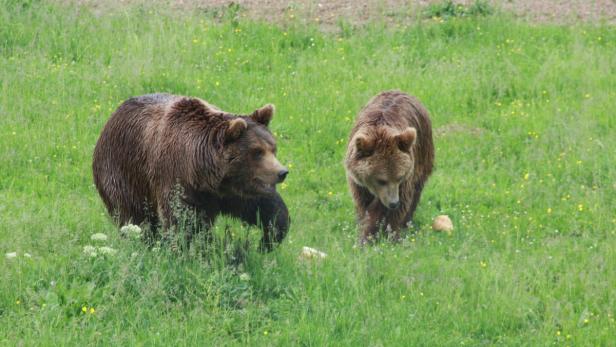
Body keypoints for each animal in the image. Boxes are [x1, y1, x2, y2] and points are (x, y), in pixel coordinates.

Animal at [92, 94, 290, 251]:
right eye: (257, 152)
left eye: (273, 148)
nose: (282, 172)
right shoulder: (175, 177)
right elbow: (185, 223)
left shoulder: (233, 189)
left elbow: (264, 206)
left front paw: (267, 240)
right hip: (124, 174)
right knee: (134, 218)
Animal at [344, 91, 436, 246]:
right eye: (381, 180)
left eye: (399, 177)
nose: (393, 203)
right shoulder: (358, 182)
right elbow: (364, 205)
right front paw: (366, 235)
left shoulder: (405, 179)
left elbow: (395, 206)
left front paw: (388, 235)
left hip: (423, 151)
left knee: (416, 190)